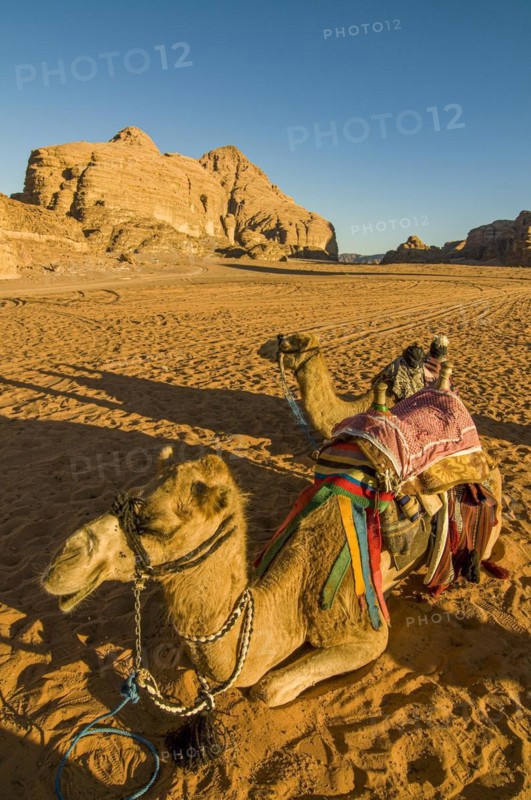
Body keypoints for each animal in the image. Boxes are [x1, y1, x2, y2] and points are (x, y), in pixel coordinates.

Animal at [42, 444, 501, 709]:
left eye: (155, 524)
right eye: (132, 492)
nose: (58, 566)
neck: (293, 595)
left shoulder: (365, 629)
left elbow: (264, 689)